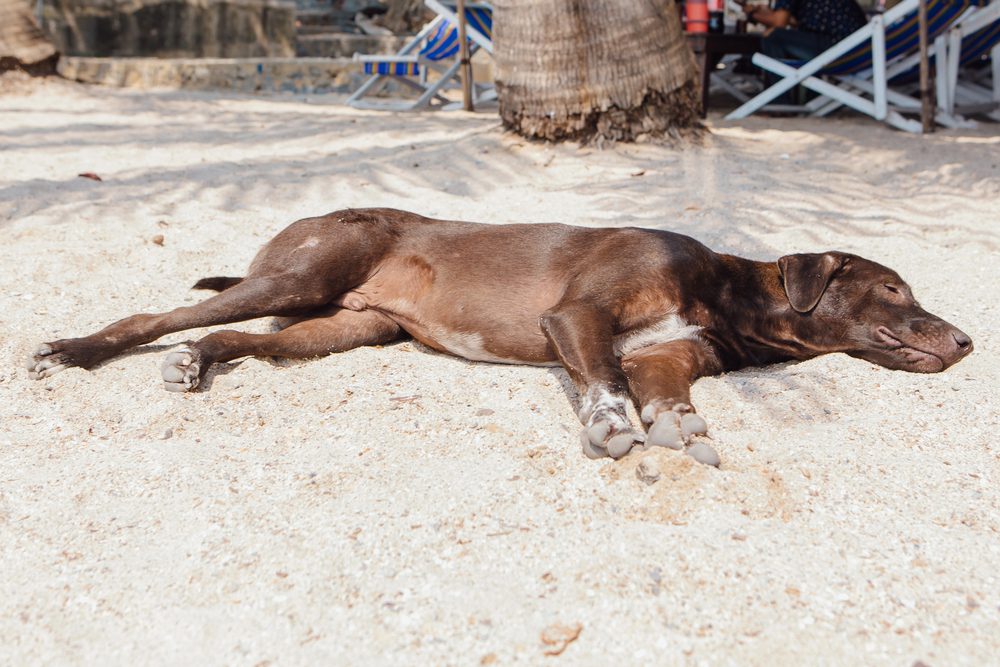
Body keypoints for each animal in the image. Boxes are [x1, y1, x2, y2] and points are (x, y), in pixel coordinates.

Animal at [27, 209, 972, 464]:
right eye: (895, 288)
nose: (968, 340)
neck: (724, 289)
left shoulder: (671, 355)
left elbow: (663, 390)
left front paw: (677, 424)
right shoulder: (578, 320)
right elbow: (605, 381)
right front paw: (611, 427)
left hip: (342, 330)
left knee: (239, 341)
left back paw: (198, 363)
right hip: (297, 276)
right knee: (157, 318)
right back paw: (74, 350)